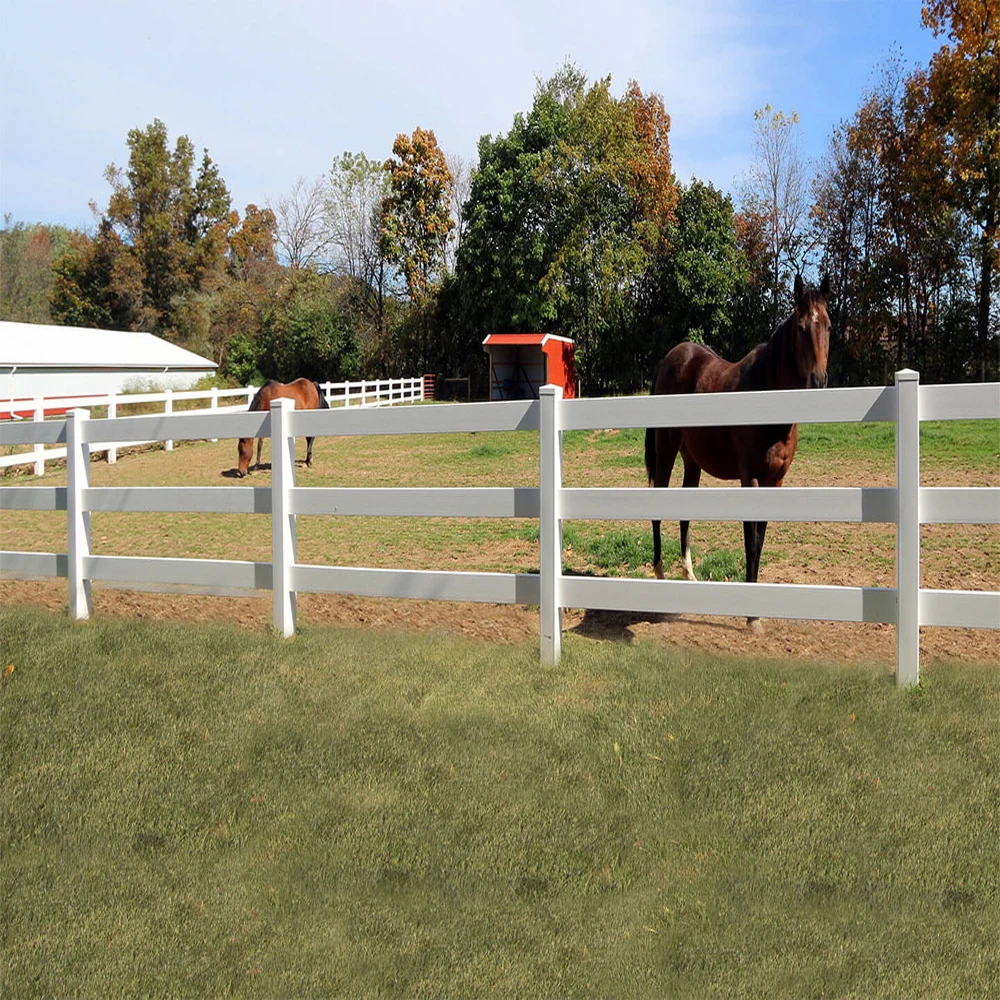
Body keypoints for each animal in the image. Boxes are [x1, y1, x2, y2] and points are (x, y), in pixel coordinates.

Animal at [644, 274, 830, 626]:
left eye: (827, 326)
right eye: (801, 328)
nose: (818, 381)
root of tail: (671, 357)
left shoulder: (775, 481)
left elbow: (760, 539)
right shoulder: (750, 479)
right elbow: (751, 541)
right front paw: (751, 616)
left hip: (692, 461)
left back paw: (689, 574)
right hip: (666, 449)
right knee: (658, 502)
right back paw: (660, 574)